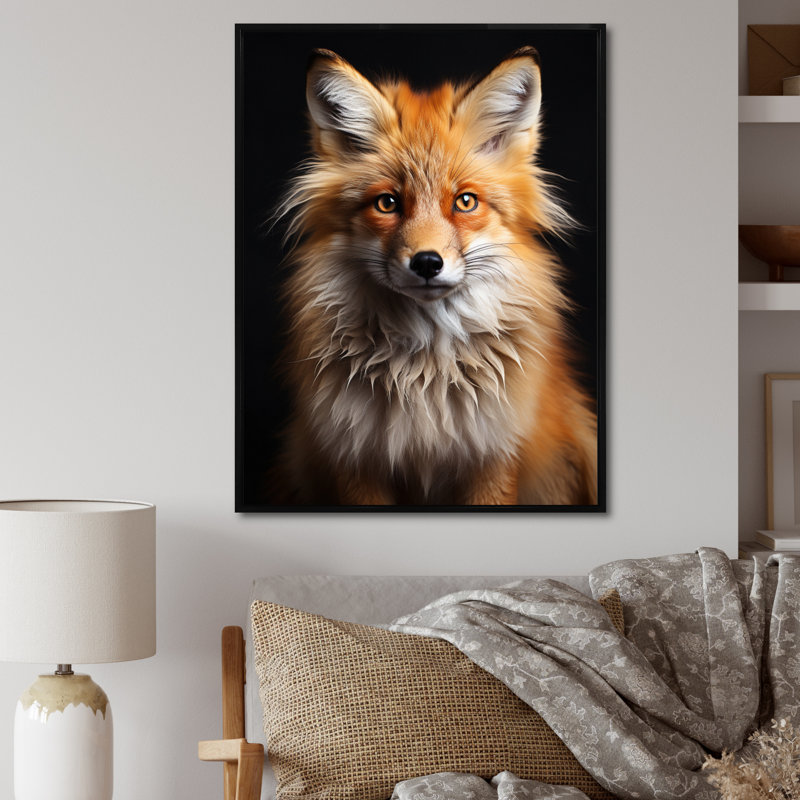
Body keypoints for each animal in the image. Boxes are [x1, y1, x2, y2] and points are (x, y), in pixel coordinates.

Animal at [275, 46, 598, 506]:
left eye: (465, 201)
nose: (427, 263)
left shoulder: (494, 455)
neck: (424, 375)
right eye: (387, 203)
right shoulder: (355, 457)